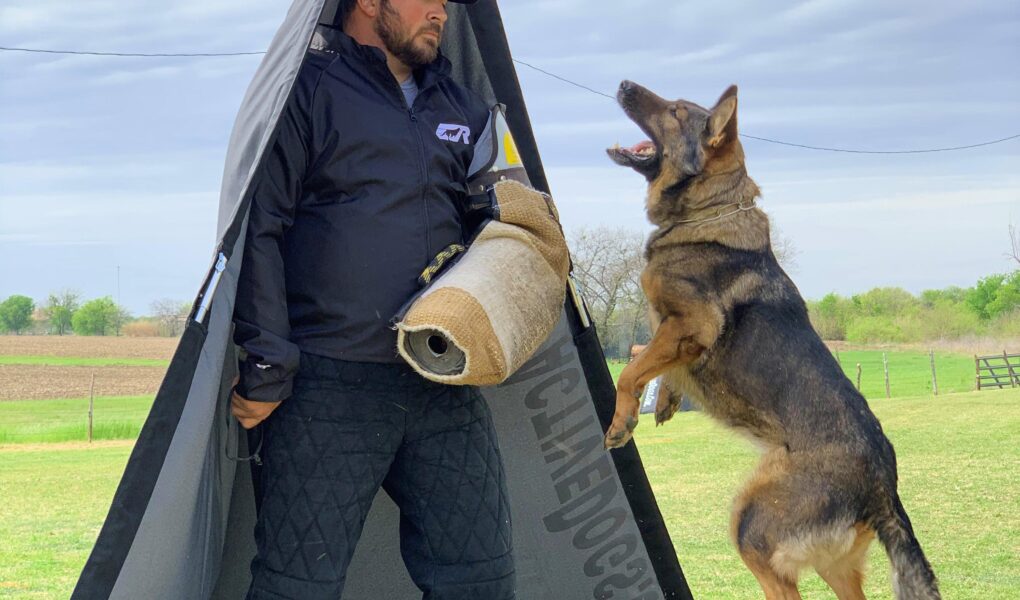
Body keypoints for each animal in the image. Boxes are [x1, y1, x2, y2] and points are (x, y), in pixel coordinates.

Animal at [599, 83, 942, 600]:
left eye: (675, 111)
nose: (622, 85)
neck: (709, 210)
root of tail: (884, 489)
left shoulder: (690, 323)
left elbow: (630, 372)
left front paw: (623, 422)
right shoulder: (672, 333)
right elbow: (651, 363)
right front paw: (665, 400)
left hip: (750, 523)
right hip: (832, 565)